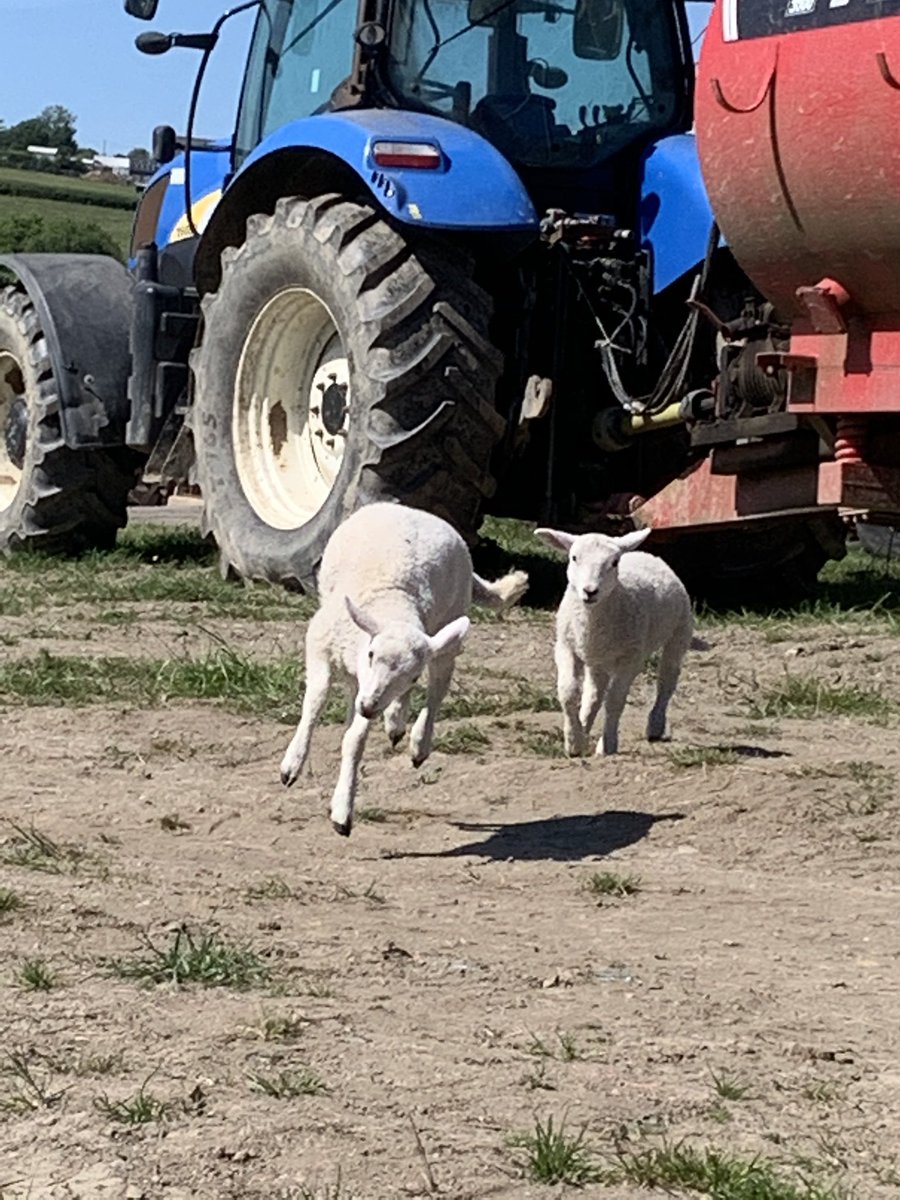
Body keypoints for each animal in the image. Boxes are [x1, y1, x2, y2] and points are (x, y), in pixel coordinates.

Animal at [280, 502, 529, 836]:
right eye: (371, 654)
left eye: (413, 676)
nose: (369, 707)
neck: (392, 598)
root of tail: (417, 510)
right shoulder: (320, 647)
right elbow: (316, 702)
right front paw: (292, 764)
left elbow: (355, 741)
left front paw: (343, 810)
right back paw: (392, 721)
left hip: (448, 634)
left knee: (436, 691)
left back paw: (413, 739)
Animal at [534, 526, 693, 756]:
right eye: (574, 557)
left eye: (614, 562)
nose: (590, 591)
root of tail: (645, 553)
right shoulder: (565, 646)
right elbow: (568, 692)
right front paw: (574, 742)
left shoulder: (631, 658)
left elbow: (615, 701)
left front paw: (607, 745)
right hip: (597, 660)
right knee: (594, 695)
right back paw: (585, 726)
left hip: (679, 632)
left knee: (667, 681)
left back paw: (655, 725)